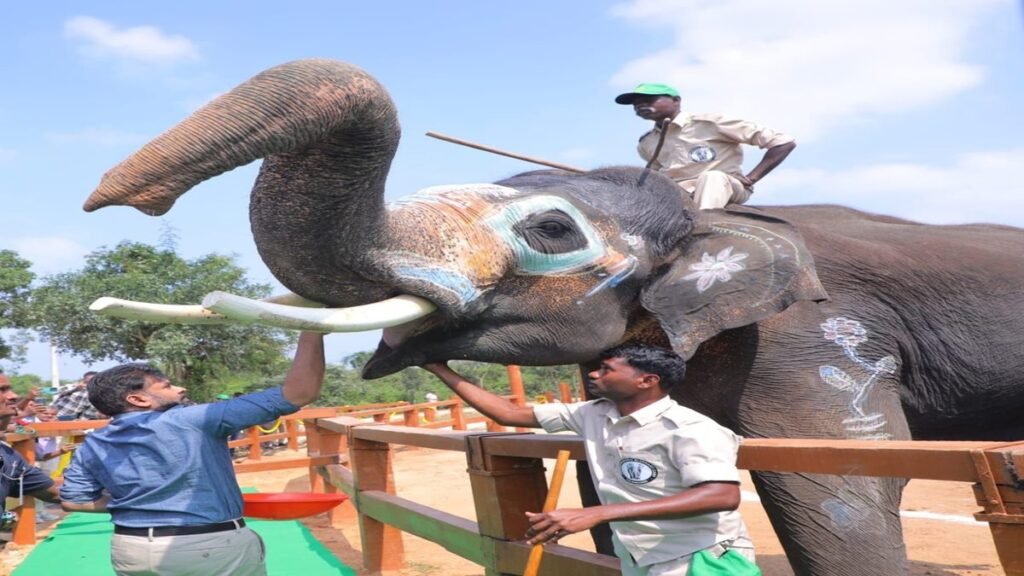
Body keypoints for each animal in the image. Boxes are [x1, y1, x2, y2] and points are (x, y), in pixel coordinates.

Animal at [83, 59, 1024, 576]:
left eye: (550, 231)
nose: (107, 199)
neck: (696, 222)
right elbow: (597, 477)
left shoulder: (818, 337)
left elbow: (838, 488)